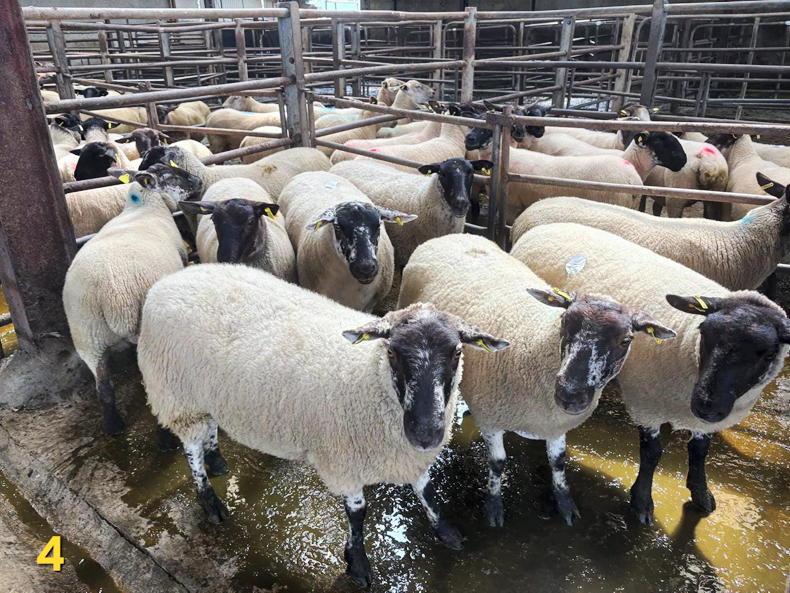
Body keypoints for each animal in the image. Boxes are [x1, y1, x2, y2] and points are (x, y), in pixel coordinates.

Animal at [137, 264, 508, 585]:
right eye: (391, 353)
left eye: (457, 352)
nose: (426, 433)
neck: (370, 376)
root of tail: (170, 280)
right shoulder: (345, 461)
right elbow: (358, 514)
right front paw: (357, 565)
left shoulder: (408, 453)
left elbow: (426, 489)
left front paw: (444, 530)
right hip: (177, 394)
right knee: (191, 448)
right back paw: (210, 500)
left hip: (205, 394)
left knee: (209, 429)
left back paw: (216, 461)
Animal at [398, 233, 675, 526]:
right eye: (565, 322)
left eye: (626, 340)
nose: (570, 395)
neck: (536, 342)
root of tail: (455, 235)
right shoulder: (492, 418)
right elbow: (498, 463)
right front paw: (494, 507)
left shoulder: (555, 424)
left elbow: (559, 462)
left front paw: (565, 504)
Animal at [511, 222, 789, 523]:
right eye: (704, 333)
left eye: (769, 354)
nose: (705, 405)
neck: (687, 345)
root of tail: (544, 226)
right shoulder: (646, 403)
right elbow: (652, 453)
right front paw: (642, 502)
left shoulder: (707, 420)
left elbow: (700, 451)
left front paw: (701, 494)